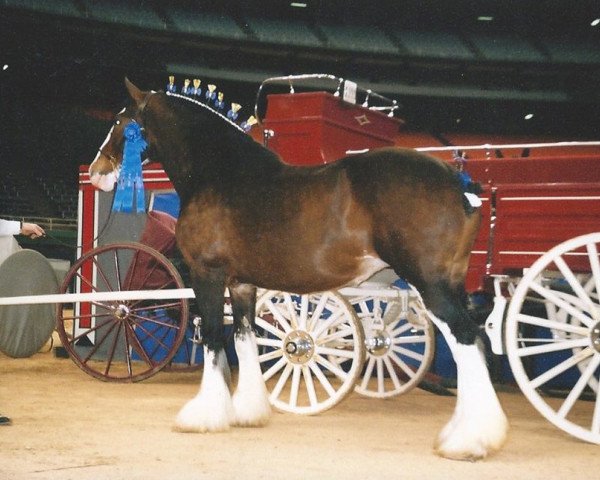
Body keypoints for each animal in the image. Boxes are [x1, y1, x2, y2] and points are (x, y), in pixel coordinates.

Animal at [89, 79, 508, 462]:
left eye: (121, 121)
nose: (96, 172)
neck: (221, 173)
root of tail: (458, 181)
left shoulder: (207, 276)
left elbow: (212, 337)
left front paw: (203, 416)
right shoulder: (242, 285)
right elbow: (244, 339)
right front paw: (248, 412)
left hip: (431, 286)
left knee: (467, 340)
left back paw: (468, 441)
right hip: (449, 285)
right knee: (473, 344)